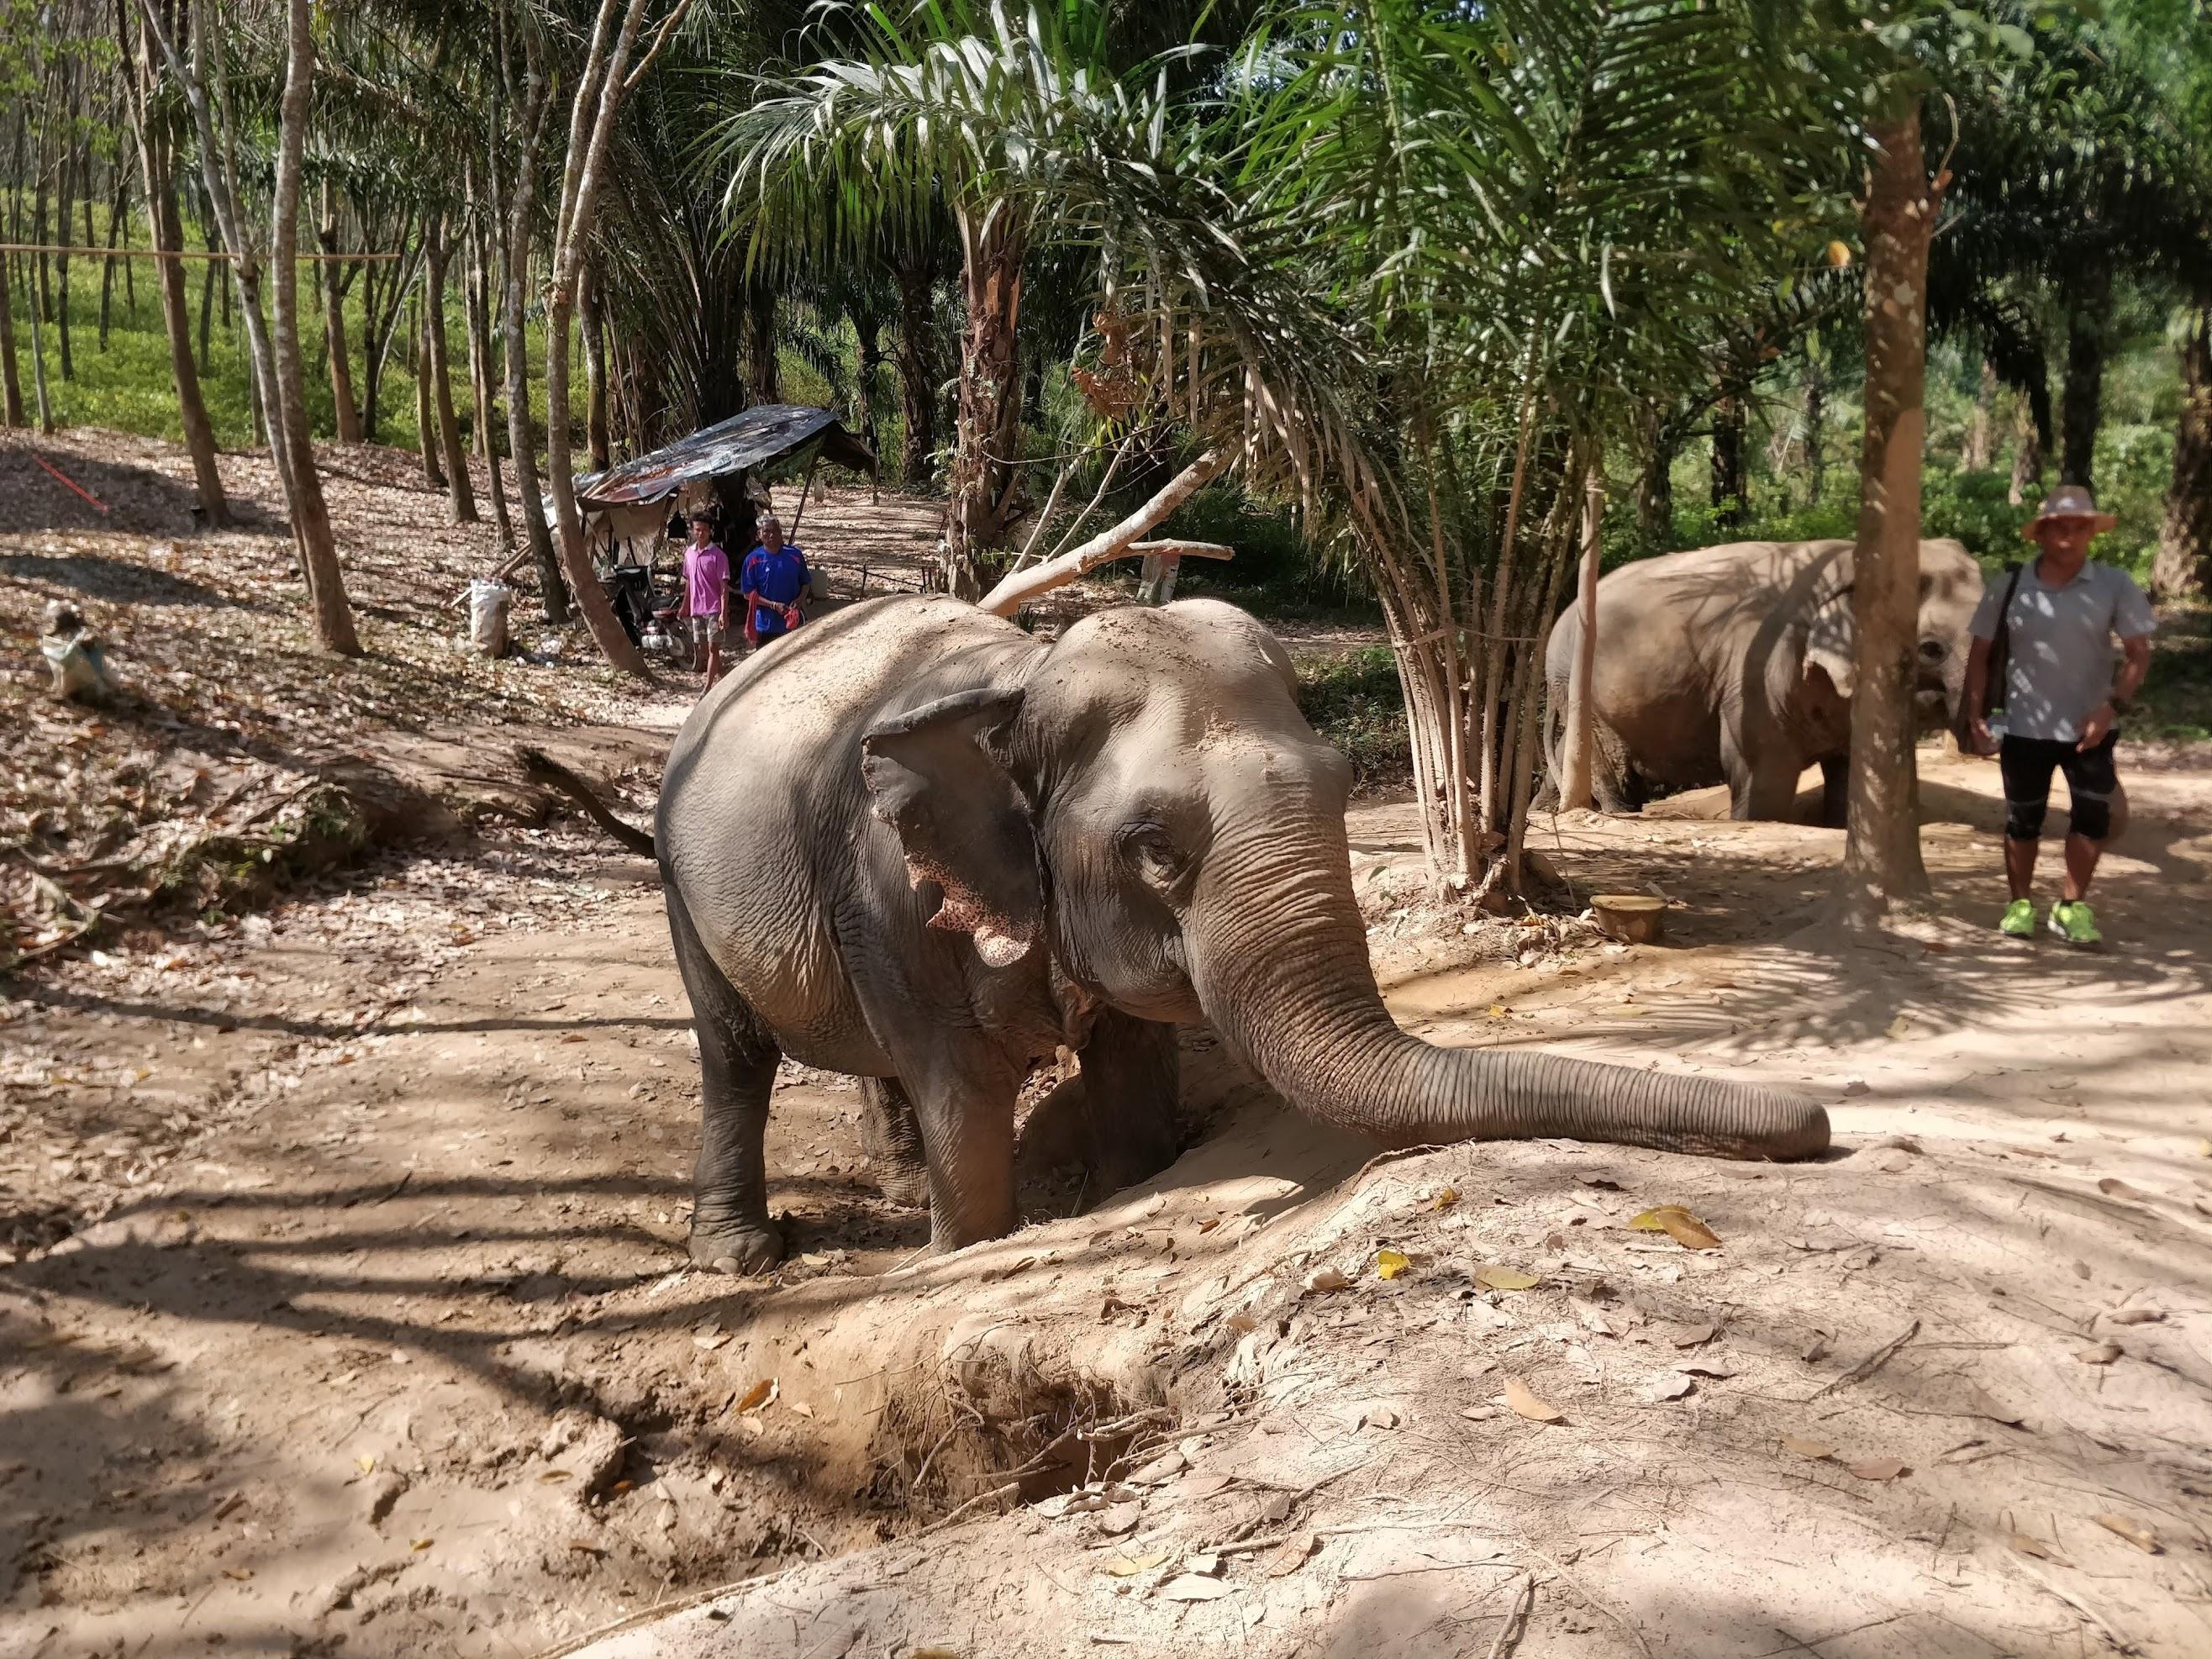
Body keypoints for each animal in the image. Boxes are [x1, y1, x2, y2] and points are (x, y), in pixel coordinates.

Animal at [530, 594, 1828, 1274]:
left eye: (1339, 783)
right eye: (1155, 846)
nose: (1818, 1122)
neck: (1018, 674)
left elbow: (1130, 1067)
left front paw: (1127, 1180)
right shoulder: (885, 886)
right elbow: (961, 1088)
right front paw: (962, 1246)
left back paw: (886, 1173)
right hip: (684, 890)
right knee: (733, 1055)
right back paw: (743, 1256)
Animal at [1544, 538, 1983, 823]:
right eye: (1931, 649)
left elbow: (1851, 763)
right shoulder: (1757, 665)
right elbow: (1762, 765)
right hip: (1584, 697)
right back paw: (1617, 812)